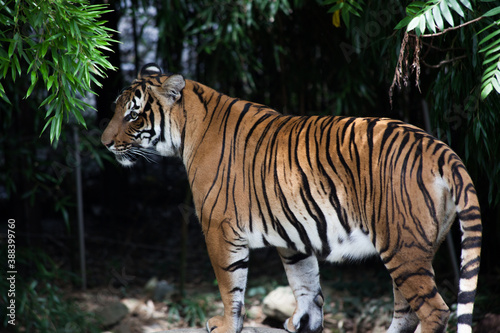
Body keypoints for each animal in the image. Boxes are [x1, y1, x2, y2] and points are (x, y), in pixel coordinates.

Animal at [100, 64, 480, 332]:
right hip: (416, 247)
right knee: (407, 311)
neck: (187, 129)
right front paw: (305, 323)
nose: (104, 142)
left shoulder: (218, 229)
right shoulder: (294, 235)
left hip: (402, 246)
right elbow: (306, 283)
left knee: (435, 311)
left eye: (132, 115)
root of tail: (440, 147)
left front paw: (225, 325)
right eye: (117, 109)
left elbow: (230, 287)